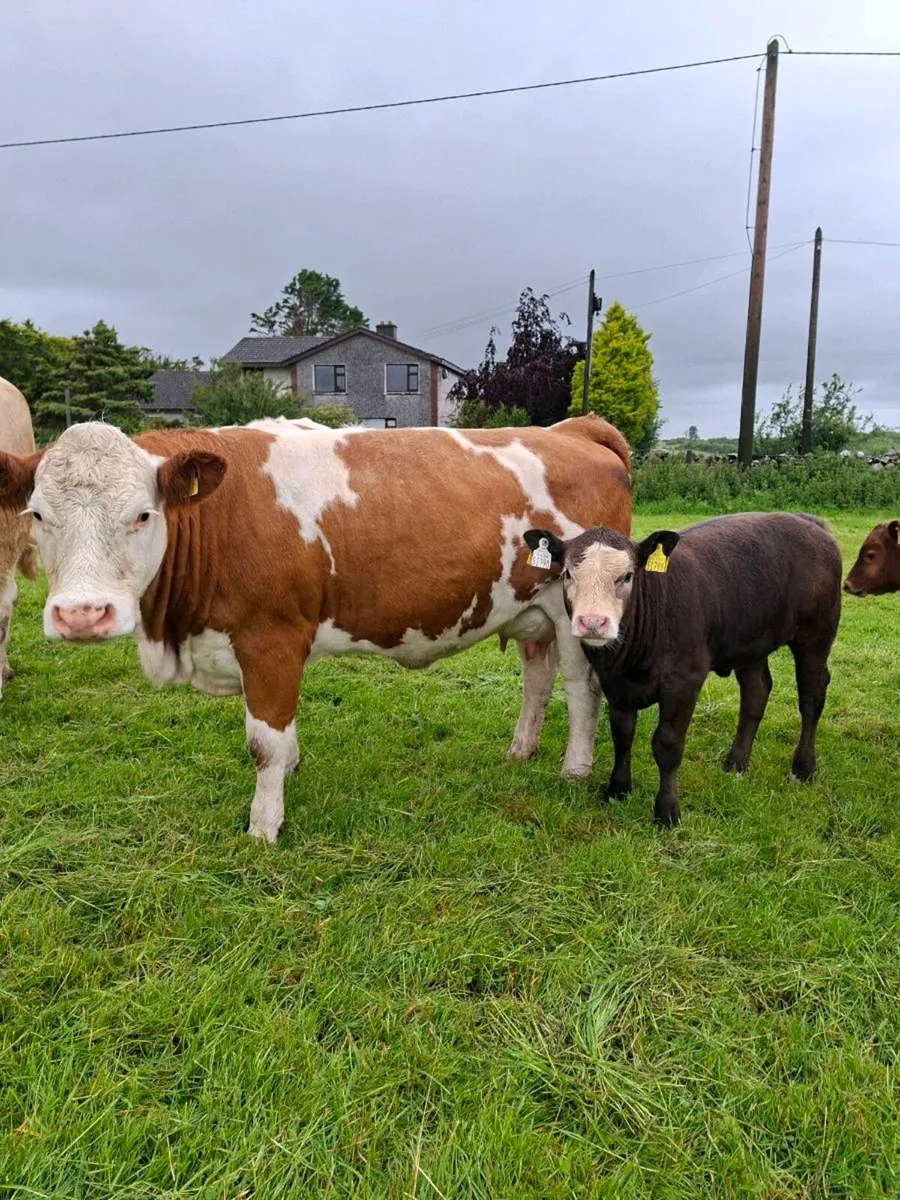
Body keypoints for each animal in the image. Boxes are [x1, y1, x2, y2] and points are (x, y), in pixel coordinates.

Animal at [0, 414, 631, 841]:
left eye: (142, 514)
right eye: (38, 514)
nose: (83, 614)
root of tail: (571, 428)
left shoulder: (270, 638)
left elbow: (263, 742)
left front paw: (264, 825)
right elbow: (280, 734)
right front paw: (291, 770)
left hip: (576, 610)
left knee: (582, 688)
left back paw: (575, 768)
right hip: (530, 608)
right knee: (537, 678)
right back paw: (521, 749)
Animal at [524, 512, 842, 827]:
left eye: (627, 576)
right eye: (568, 574)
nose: (592, 622)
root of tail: (807, 521)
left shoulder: (683, 681)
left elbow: (667, 744)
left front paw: (666, 811)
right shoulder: (615, 683)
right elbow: (622, 734)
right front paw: (618, 789)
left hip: (815, 635)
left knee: (811, 697)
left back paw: (802, 768)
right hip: (752, 641)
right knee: (756, 693)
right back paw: (736, 763)